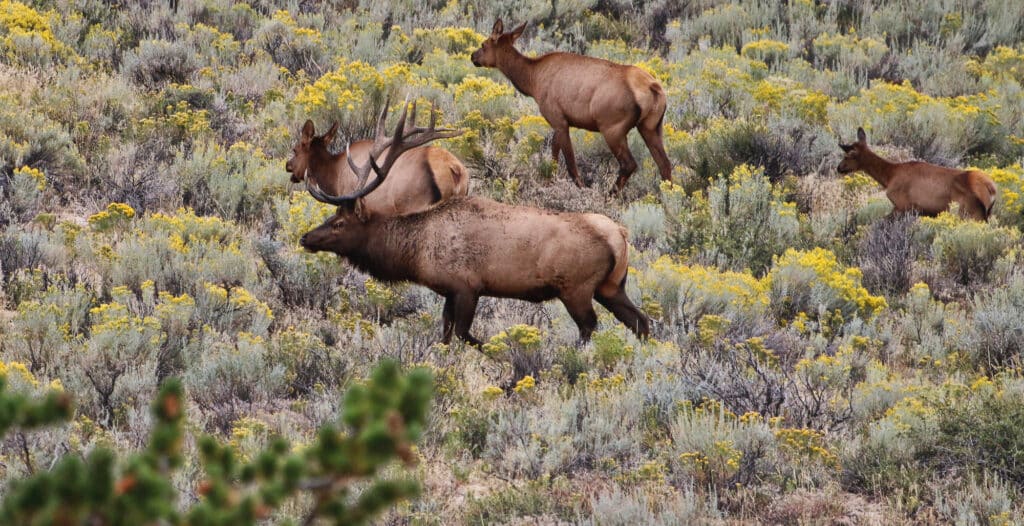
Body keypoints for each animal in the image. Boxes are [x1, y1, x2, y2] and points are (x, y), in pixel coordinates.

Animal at [470, 19, 672, 195]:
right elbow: (553, 155)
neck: (532, 81)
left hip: (612, 128)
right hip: (651, 127)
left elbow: (570, 163)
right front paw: (549, 182)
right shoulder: (560, 122)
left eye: (483, 44)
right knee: (665, 164)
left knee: (629, 164)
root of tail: (654, 89)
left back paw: (609, 196)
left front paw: (580, 190)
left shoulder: (558, 119)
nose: (473, 56)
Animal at [838, 127, 997, 221]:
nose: (839, 168)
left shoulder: (902, 205)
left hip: (970, 212)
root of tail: (991, 189)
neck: (890, 176)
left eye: (847, 156)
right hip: (985, 215)